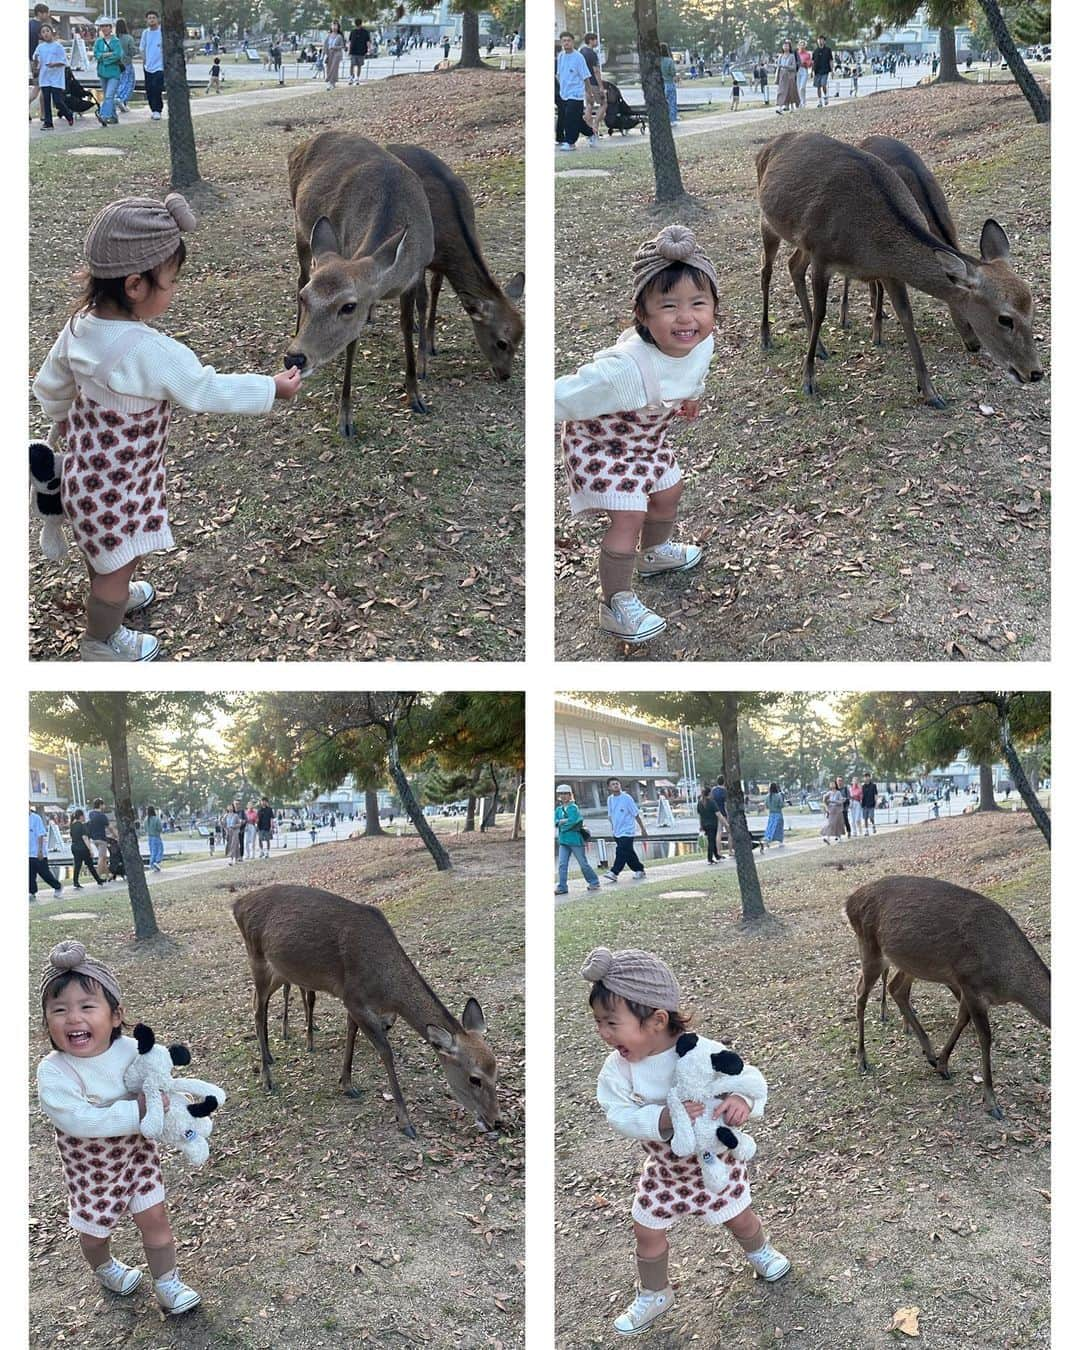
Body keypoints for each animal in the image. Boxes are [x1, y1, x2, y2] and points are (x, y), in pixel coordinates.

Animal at [232, 885, 502, 1139]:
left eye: (496, 1070)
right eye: (474, 1078)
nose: (496, 1120)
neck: (387, 990)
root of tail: (237, 904)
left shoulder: (356, 1003)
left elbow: (351, 1033)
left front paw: (346, 1084)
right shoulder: (354, 998)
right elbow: (385, 1051)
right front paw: (405, 1122)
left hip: (280, 970)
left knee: (257, 1001)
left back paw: (269, 1056)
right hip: (257, 959)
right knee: (257, 1009)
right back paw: (267, 1079)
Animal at [288, 132, 440, 437]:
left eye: (348, 306)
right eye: (304, 298)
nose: (295, 358)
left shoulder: (414, 276)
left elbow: (406, 326)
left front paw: (415, 396)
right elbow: (352, 343)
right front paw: (345, 419)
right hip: (300, 226)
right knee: (300, 274)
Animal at [386, 143, 526, 380]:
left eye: (520, 338)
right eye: (501, 342)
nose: (505, 375)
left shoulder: (440, 264)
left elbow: (435, 291)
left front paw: (432, 345)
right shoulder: (421, 259)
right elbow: (422, 300)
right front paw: (422, 366)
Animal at [756, 130, 1042, 405]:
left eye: (1032, 310)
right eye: (1005, 318)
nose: (1035, 372)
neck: (867, 243)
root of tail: (767, 147)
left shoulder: (888, 272)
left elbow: (906, 315)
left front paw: (930, 392)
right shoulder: (821, 254)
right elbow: (820, 314)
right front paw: (808, 380)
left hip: (800, 242)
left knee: (793, 266)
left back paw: (820, 348)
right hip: (768, 222)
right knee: (766, 271)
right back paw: (767, 338)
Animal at [847, 874, 1053, 1117]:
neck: (1011, 984)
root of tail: (849, 903)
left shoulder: (964, 986)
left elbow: (962, 1020)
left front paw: (942, 1064)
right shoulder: (971, 982)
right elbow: (985, 1037)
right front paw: (991, 1102)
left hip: (910, 961)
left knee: (896, 988)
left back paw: (928, 1052)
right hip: (870, 947)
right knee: (860, 993)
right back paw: (862, 1059)